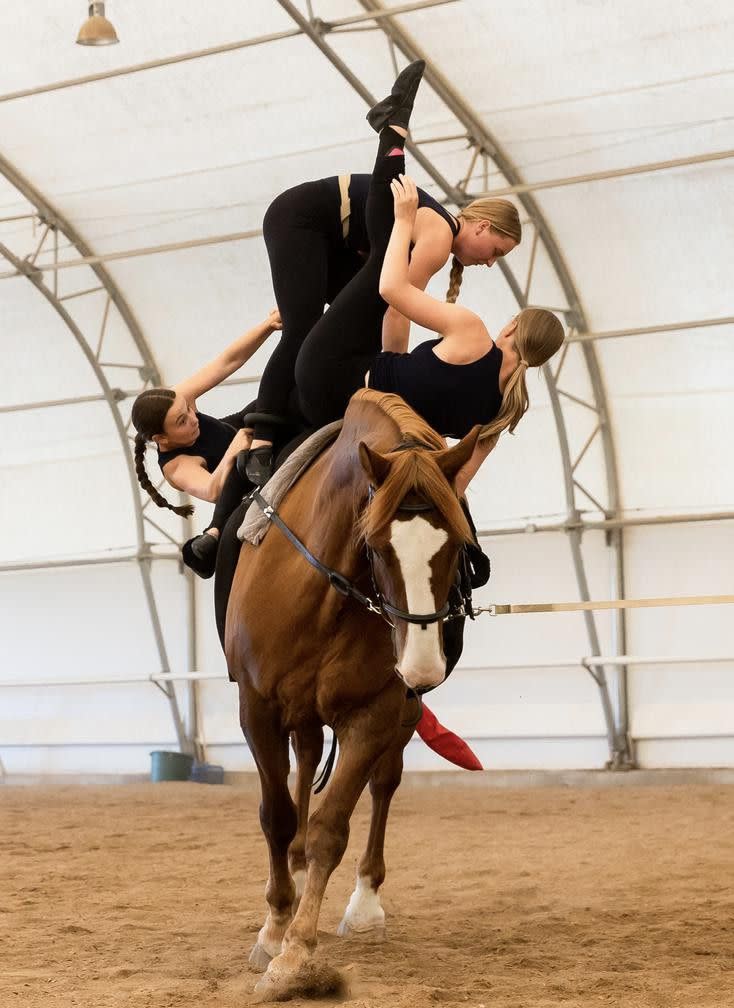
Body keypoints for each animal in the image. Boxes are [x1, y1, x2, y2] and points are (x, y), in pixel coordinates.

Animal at [226, 389, 477, 995]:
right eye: (375, 543)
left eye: (458, 544)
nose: (422, 665)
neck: (322, 593)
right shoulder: (258, 709)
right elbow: (277, 815)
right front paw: (274, 929)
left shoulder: (374, 712)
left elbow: (331, 828)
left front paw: (296, 954)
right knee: (303, 765)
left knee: (382, 785)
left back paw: (364, 904)